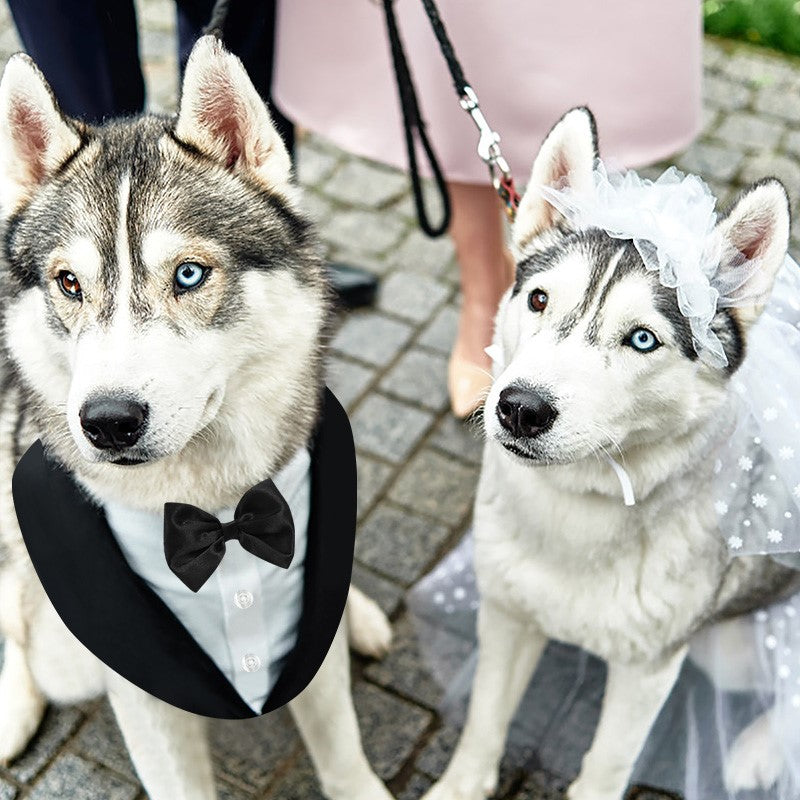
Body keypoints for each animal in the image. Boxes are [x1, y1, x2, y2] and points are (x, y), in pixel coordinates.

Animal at [0, 34, 394, 800]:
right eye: (69, 283)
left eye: (188, 275)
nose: (108, 421)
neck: (216, 511)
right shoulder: (141, 690)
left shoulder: (307, 627)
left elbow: (341, 749)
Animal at [410, 109, 800, 800]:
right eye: (539, 300)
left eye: (642, 339)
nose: (520, 408)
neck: (578, 513)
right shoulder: (507, 612)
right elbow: (485, 719)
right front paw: (461, 785)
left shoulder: (648, 668)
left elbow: (608, 763)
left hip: (729, 649)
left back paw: (756, 750)